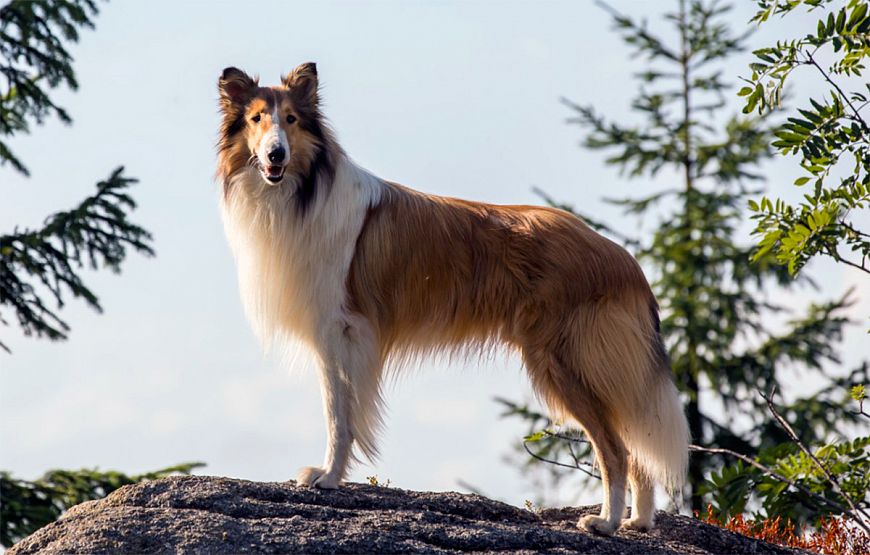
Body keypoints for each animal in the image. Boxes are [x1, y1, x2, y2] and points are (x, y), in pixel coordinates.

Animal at [216, 62, 688, 536]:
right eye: (256, 118)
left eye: (292, 120)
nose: (276, 155)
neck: (303, 191)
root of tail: (624, 260)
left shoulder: (341, 331)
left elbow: (339, 414)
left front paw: (327, 478)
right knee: (637, 446)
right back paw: (638, 522)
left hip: (566, 361)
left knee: (617, 449)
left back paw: (605, 522)